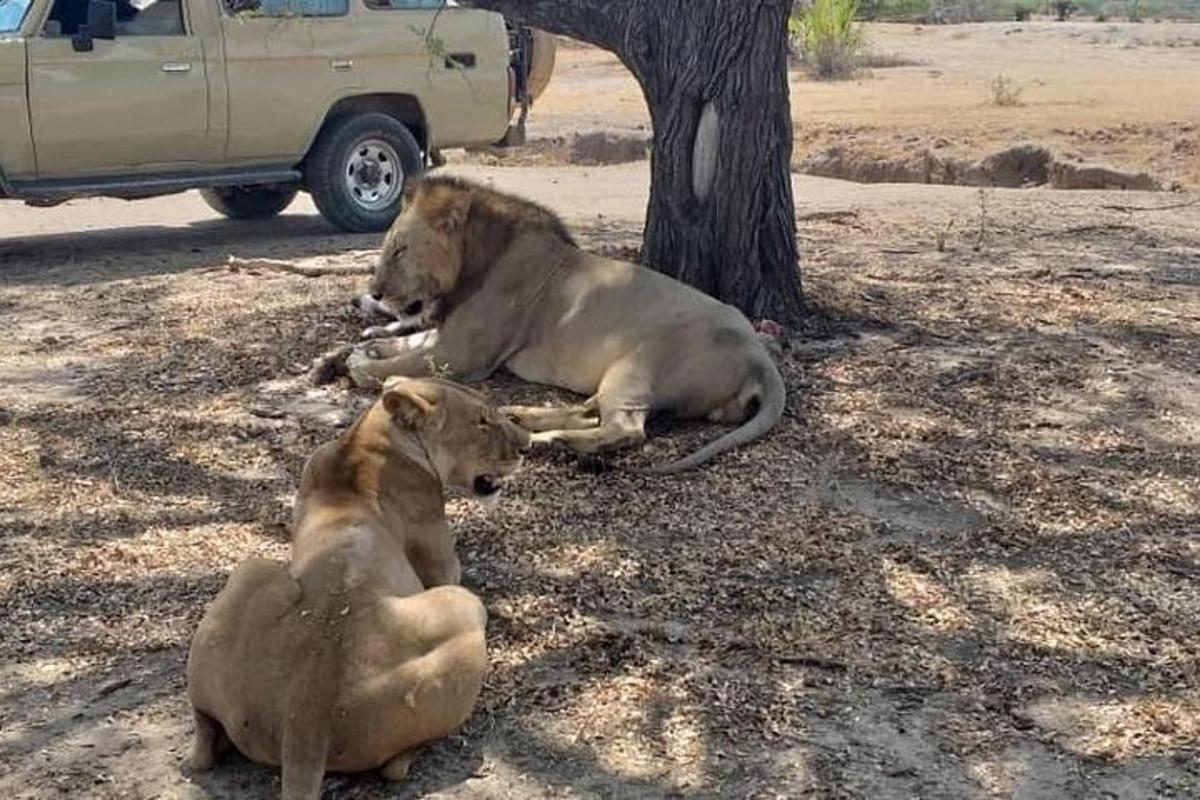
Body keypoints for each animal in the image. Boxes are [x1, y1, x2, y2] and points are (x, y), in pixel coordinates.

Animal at [183, 376, 530, 800]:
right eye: (481, 421)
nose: (528, 445)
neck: (364, 440)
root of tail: (306, 717)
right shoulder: (441, 561)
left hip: (247, 575)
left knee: (202, 742)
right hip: (460, 606)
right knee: (395, 766)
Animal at [345, 176, 787, 474]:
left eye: (399, 250)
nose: (374, 292)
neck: (479, 260)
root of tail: (758, 355)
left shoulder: (465, 352)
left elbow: (398, 364)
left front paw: (365, 366)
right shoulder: (448, 335)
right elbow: (408, 341)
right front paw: (368, 345)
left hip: (635, 366)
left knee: (625, 429)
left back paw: (549, 442)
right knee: (591, 412)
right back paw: (522, 417)